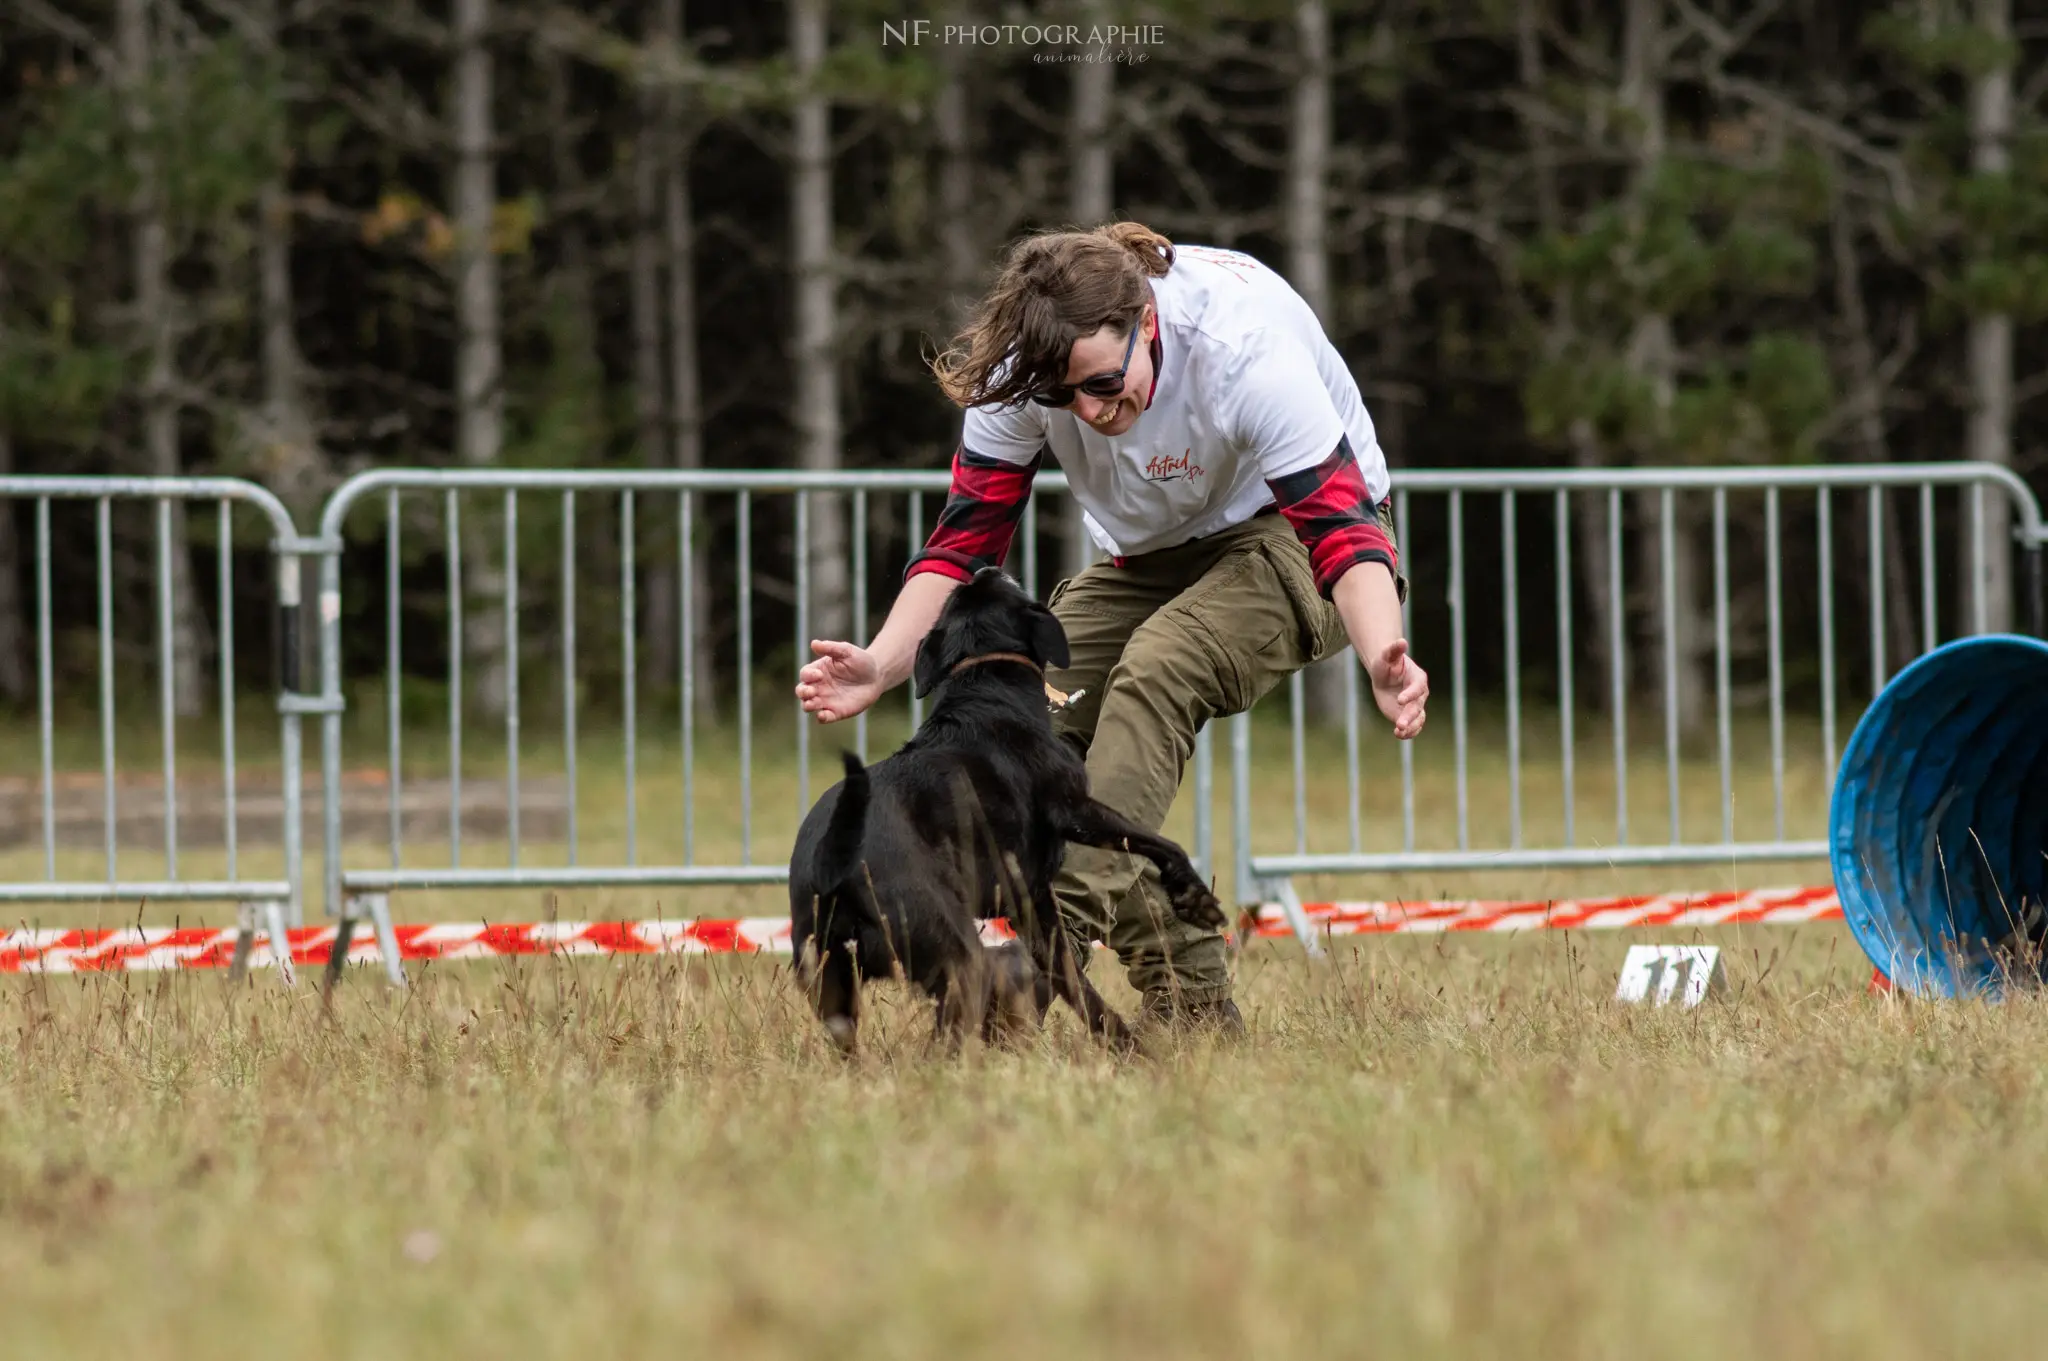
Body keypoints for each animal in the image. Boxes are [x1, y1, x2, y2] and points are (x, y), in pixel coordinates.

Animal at [790, 560, 1220, 1047]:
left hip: (832, 983)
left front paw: (1120, 1040)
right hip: (952, 953)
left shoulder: (1032, 901)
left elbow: (1072, 980)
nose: (982, 567)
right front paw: (1195, 898)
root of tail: (832, 860)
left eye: (956, 597)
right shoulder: (1077, 811)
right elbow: (1157, 843)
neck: (986, 683)